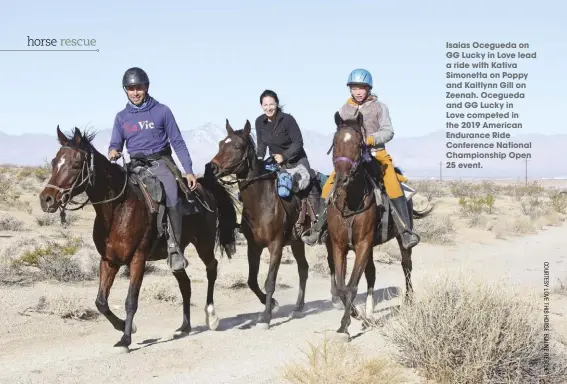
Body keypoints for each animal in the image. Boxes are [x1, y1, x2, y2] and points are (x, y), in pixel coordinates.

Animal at [39, 126, 240, 352]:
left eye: (75, 165)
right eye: (54, 162)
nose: (46, 199)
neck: (118, 208)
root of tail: (203, 188)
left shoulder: (138, 259)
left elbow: (131, 301)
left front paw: (126, 339)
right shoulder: (109, 260)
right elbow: (101, 302)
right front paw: (125, 327)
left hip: (204, 243)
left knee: (211, 269)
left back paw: (211, 316)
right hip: (176, 255)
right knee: (185, 284)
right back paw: (184, 327)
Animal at [210, 119, 312, 330]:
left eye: (237, 146)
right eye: (220, 144)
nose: (212, 168)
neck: (262, 201)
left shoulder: (276, 246)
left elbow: (270, 281)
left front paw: (266, 317)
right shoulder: (254, 247)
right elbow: (251, 281)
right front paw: (271, 303)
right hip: (297, 242)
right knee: (303, 269)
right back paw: (298, 308)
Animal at [326, 112, 432, 342]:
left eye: (359, 144)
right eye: (335, 143)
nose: (342, 179)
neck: (350, 202)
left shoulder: (363, 244)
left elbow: (352, 285)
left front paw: (344, 326)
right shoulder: (340, 245)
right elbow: (341, 286)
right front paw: (355, 316)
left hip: (402, 239)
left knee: (406, 265)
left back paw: (408, 300)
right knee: (372, 273)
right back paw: (369, 313)